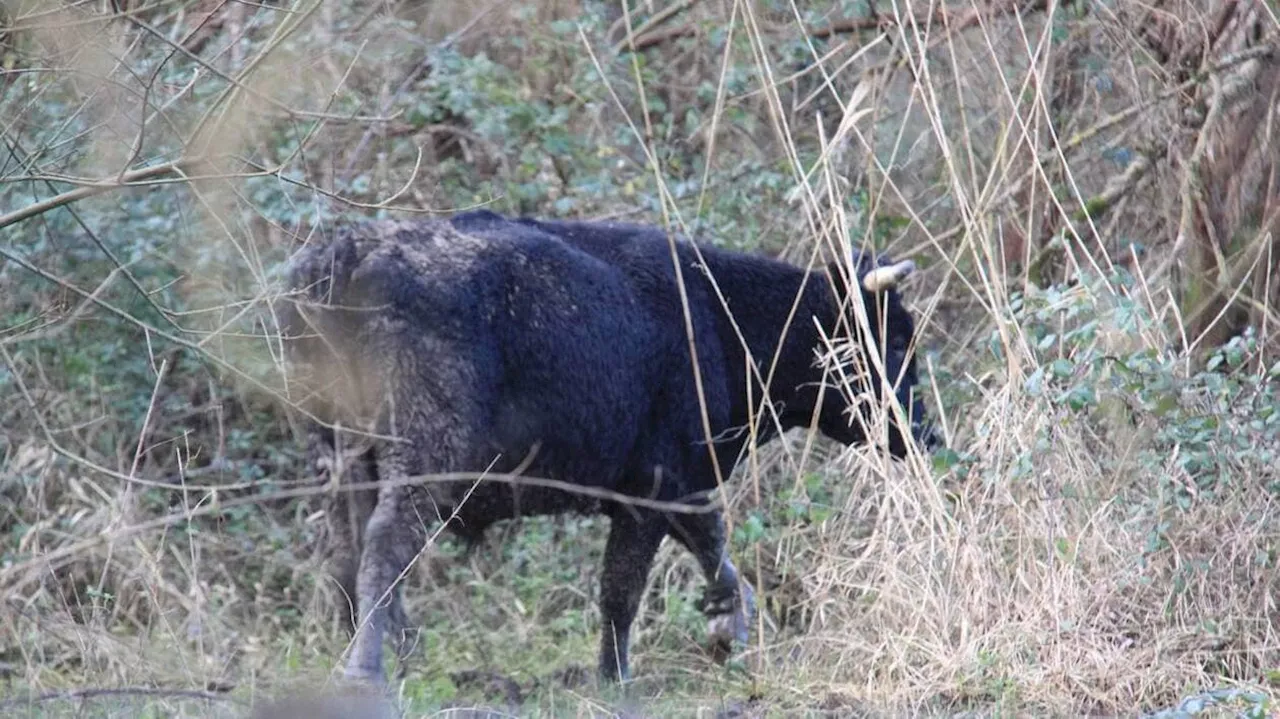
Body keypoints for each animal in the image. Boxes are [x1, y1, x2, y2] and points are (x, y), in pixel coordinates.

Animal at [280, 208, 942, 680]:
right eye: (893, 338)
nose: (924, 435)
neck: (716, 314)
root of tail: (348, 255)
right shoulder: (650, 491)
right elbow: (622, 590)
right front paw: (617, 673)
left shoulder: (670, 486)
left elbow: (709, 542)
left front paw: (728, 619)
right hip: (423, 459)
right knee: (386, 546)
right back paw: (370, 670)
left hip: (341, 462)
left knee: (346, 553)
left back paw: (397, 653)